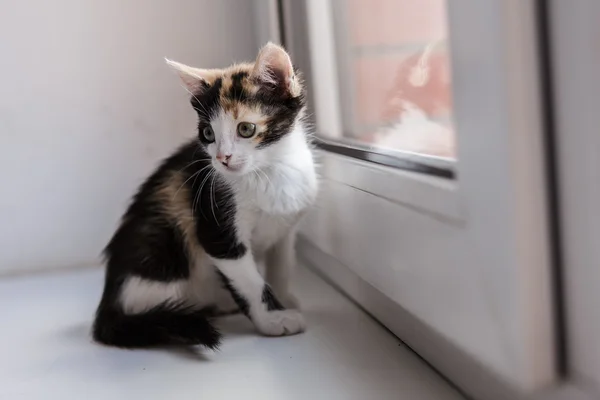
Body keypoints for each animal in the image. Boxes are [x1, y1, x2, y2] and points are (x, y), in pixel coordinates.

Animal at [92, 43, 318, 348]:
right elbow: (249, 281)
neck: (268, 170)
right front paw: (273, 319)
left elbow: (282, 263)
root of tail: (108, 303)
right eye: (208, 133)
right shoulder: (216, 227)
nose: (222, 158)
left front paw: (283, 297)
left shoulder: (286, 227)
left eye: (246, 129)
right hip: (161, 248)